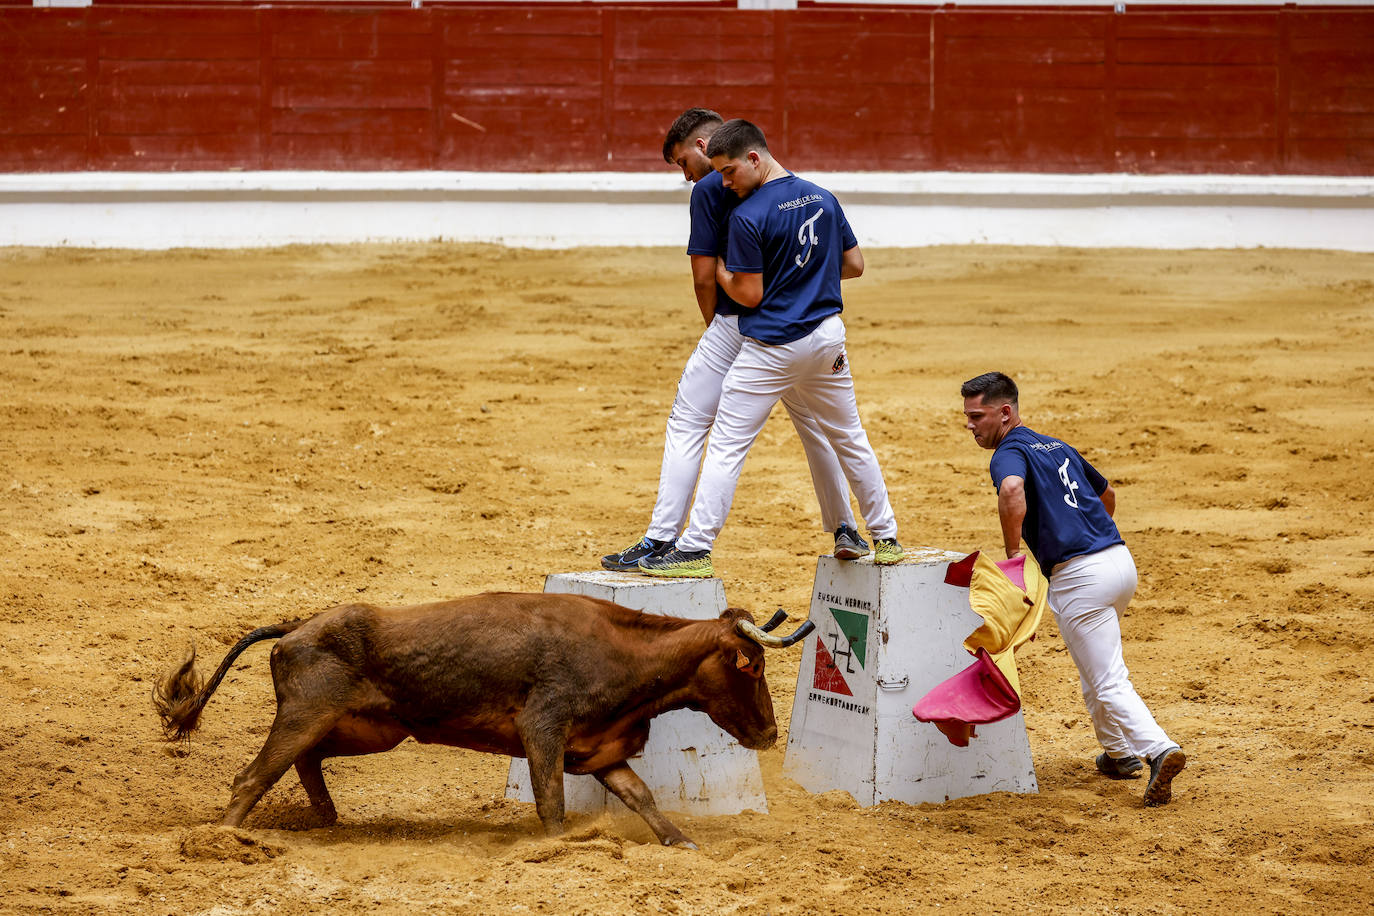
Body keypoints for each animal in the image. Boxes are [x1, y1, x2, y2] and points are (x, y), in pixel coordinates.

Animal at [154, 590, 807, 851]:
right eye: (750, 665)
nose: (769, 733)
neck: (623, 653)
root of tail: (295, 628)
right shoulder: (544, 731)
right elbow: (551, 804)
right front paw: (558, 849)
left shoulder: (600, 750)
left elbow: (641, 796)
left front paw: (680, 841)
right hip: (306, 715)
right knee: (252, 777)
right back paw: (223, 840)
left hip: (366, 730)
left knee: (305, 763)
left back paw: (328, 819)